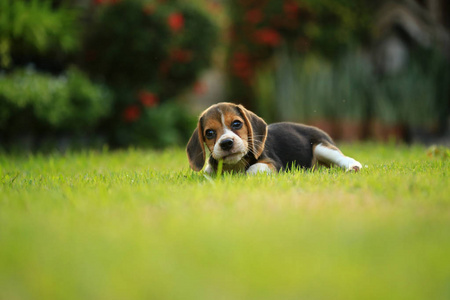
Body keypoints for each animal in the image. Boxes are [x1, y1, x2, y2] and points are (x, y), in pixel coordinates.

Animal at [186, 102, 362, 175]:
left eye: (236, 123)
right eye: (209, 133)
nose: (226, 143)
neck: (235, 164)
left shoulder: (273, 164)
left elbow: (252, 169)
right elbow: (209, 170)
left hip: (321, 147)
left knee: (343, 158)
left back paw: (353, 166)